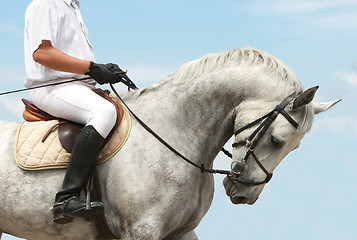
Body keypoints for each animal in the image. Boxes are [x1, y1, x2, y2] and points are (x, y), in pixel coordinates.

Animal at [0, 47, 338, 240]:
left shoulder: (182, 232)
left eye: (293, 148)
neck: (176, 130)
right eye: (277, 139)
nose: (245, 195)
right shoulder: (142, 230)